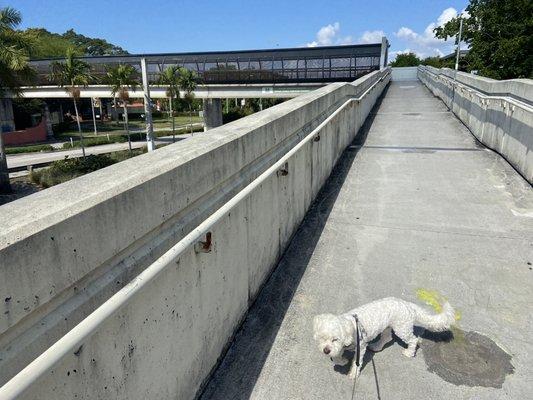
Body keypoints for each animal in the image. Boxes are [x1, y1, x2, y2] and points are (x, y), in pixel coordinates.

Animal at [312, 298, 454, 380]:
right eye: (322, 338)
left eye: (335, 339)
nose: (325, 350)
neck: (352, 325)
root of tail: (406, 304)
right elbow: (336, 357)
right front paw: (342, 361)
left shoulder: (360, 346)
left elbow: (356, 362)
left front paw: (353, 373)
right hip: (388, 326)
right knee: (388, 337)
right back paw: (377, 346)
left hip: (401, 328)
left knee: (413, 339)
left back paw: (409, 352)